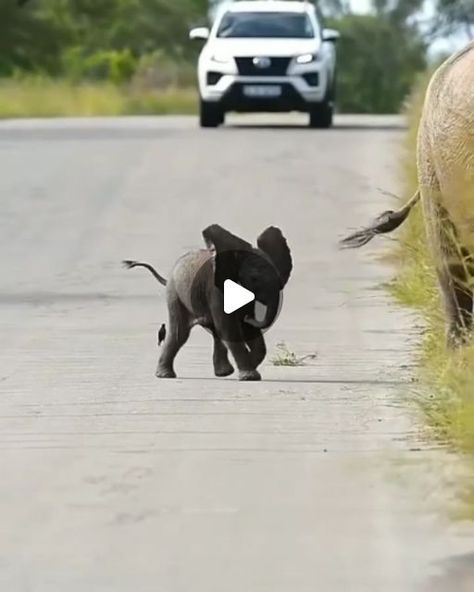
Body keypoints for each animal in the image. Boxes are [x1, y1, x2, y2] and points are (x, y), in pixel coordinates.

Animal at [124, 224, 290, 382]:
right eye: (254, 278)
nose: (250, 317)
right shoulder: (217, 291)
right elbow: (230, 329)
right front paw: (249, 376)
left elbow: (247, 330)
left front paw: (249, 367)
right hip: (175, 294)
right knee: (180, 333)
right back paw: (165, 375)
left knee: (214, 332)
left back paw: (224, 373)